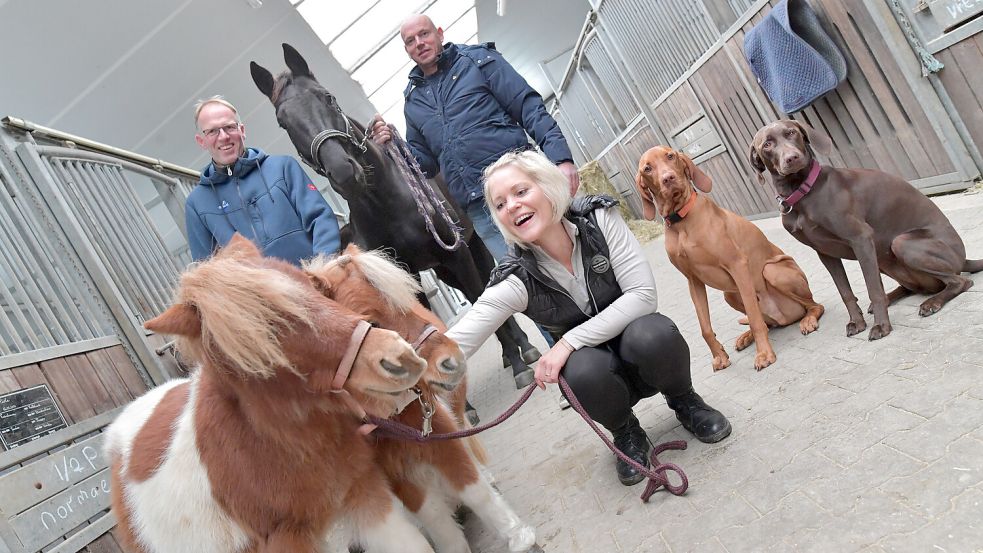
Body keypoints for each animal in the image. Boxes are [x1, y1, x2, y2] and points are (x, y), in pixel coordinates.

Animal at [248, 43, 540, 388]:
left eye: (327, 97)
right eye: (284, 122)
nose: (343, 172)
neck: (389, 205)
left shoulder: (457, 255)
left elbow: (481, 296)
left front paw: (520, 366)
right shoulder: (402, 273)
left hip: (472, 247)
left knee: (485, 289)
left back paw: (522, 350)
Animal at [306, 247, 540, 552]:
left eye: (405, 302)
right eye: (371, 324)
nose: (451, 361)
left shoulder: (439, 436)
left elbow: (474, 489)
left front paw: (520, 538)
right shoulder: (395, 473)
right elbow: (432, 515)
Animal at [640, 147, 824, 370]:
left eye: (670, 156)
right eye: (647, 168)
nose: (668, 178)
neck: (681, 221)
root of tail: (784, 318)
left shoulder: (737, 265)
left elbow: (754, 317)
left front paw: (764, 353)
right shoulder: (693, 281)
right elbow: (705, 328)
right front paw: (719, 356)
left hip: (772, 271)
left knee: (813, 306)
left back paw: (808, 320)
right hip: (729, 294)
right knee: (767, 322)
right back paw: (746, 336)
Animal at [748, 118, 980, 338]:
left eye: (791, 132)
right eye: (767, 144)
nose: (792, 158)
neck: (803, 194)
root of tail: (963, 258)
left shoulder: (860, 238)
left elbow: (873, 289)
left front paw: (881, 326)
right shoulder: (825, 253)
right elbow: (845, 293)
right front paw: (857, 322)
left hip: (900, 243)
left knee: (960, 281)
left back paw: (932, 302)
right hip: (882, 257)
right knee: (910, 286)